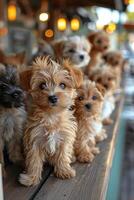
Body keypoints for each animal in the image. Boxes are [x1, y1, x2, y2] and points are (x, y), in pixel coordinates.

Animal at [18, 56, 82, 186]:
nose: (52, 97)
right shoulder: (34, 140)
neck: (51, 116)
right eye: (42, 85)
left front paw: (64, 171)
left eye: (62, 85)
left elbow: (63, 155)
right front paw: (31, 178)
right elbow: (34, 161)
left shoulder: (65, 138)